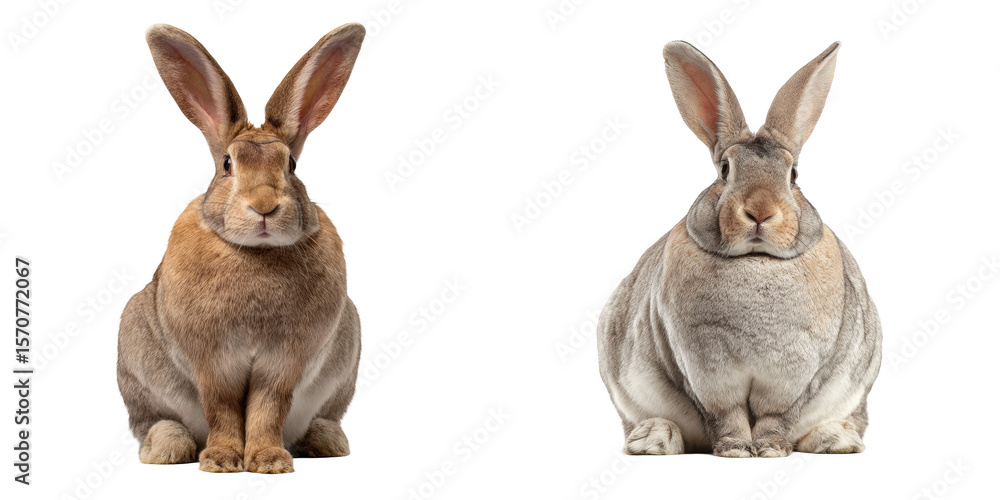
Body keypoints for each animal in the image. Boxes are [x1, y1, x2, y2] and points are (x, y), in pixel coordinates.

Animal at [117, 23, 365, 473]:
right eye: (227, 165)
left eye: (292, 166)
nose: (264, 206)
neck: (255, 253)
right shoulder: (212, 362)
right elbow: (222, 407)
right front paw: (220, 462)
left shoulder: (284, 363)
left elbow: (268, 407)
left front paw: (268, 462)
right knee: (153, 422)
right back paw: (168, 448)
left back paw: (327, 442)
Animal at [597, 41, 881, 458]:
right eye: (725, 170)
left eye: (793, 174)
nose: (760, 211)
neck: (756, 260)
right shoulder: (705, 374)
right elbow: (726, 414)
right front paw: (734, 449)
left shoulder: (792, 380)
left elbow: (774, 416)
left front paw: (771, 450)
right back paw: (653, 439)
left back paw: (836, 439)